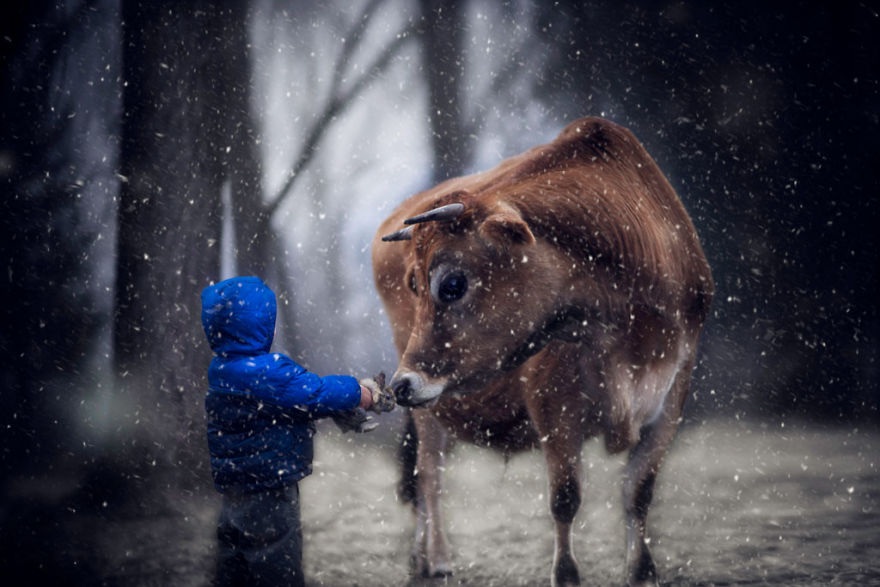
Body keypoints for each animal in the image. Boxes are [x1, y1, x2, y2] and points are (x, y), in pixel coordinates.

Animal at [370, 117, 708, 584]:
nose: (402, 384)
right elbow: (565, 497)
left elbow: (639, 489)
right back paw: (435, 558)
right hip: (428, 411)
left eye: (452, 283)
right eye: (414, 285)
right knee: (429, 476)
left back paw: (420, 557)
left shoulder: (674, 391)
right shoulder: (554, 399)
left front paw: (642, 571)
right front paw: (565, 574)